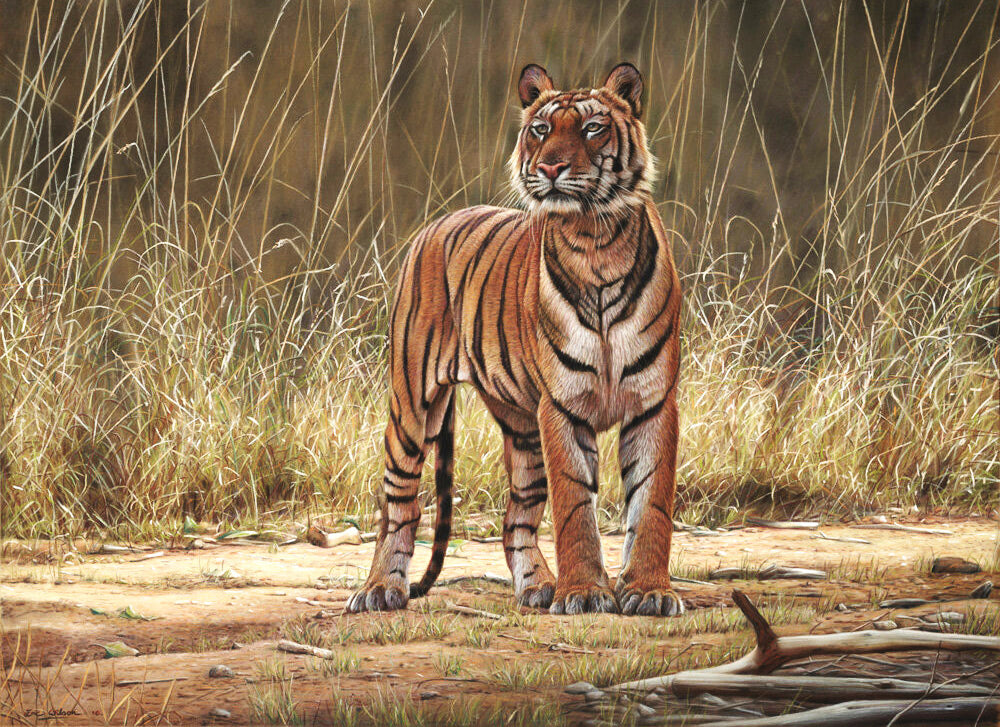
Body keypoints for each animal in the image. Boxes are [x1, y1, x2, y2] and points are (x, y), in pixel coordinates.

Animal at [346, 62, 683, 616]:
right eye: (541, 130)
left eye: (593, 128)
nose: (550, 167)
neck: (596, 243)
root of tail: (437, 223)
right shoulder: (562, 407)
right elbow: (574, 506)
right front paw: (584, 593)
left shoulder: (653, 402)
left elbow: (651, 501)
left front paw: (649, 592)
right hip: (412, 404)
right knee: (398, 505)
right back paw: (379, 588)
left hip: (523, 429)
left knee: (515, 520)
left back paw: (537, 586)